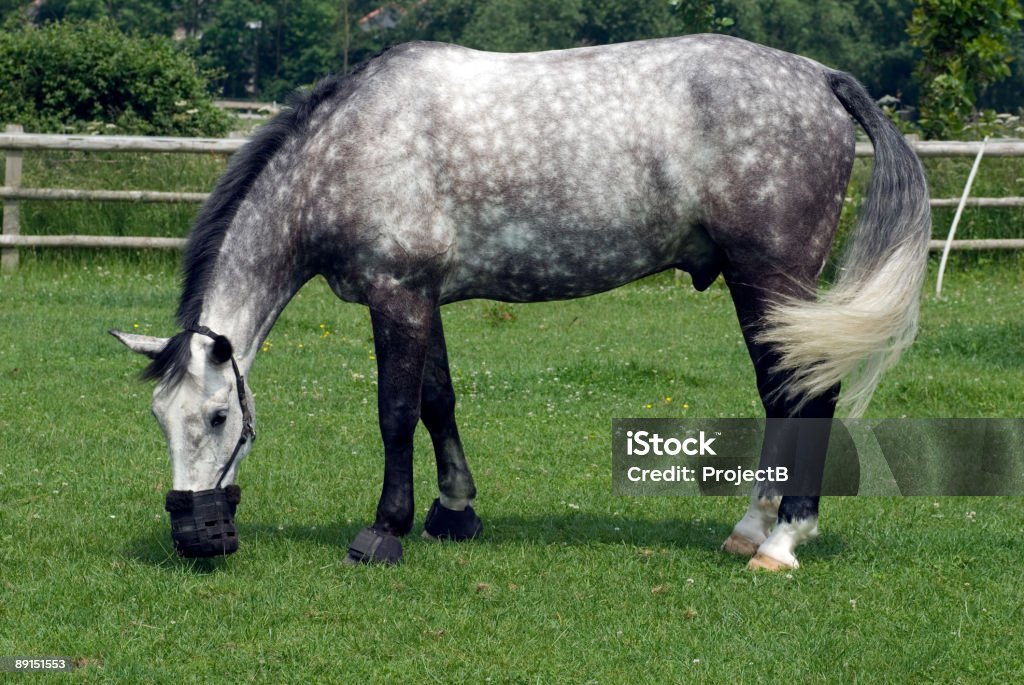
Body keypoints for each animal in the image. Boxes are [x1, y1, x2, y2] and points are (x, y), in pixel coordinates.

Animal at [112, 33, 929, 565]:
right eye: (159, 417)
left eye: (219, 417)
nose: (193, 536)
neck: (343, 150)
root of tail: (820, 76)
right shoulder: (423, 298)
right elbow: (438, 401)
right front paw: (454, 511)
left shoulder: (396, 297)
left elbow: (396, 412)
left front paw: (385, 530)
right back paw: (753, 528)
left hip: (772, 276)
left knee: (803, 394)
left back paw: (783, 540)